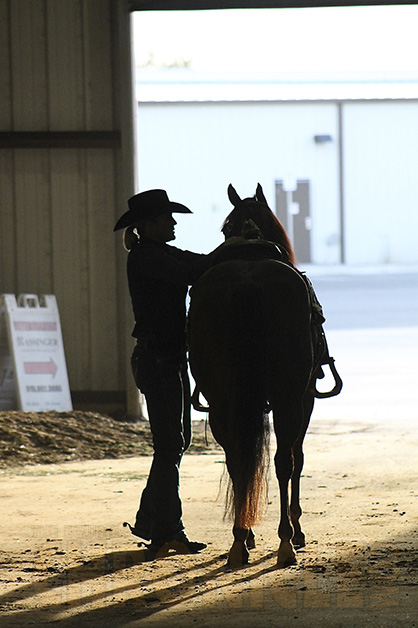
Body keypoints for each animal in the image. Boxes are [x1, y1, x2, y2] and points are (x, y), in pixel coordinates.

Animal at [188, 183, 338, 568]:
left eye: (225, 227)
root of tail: (247, 283)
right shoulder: (305, 398)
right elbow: (297, 459)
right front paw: (297, 531)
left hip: (222, 401)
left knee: (236, 459)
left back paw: (240, 539)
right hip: (288, 398)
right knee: (284, 460)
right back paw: (285, 541)